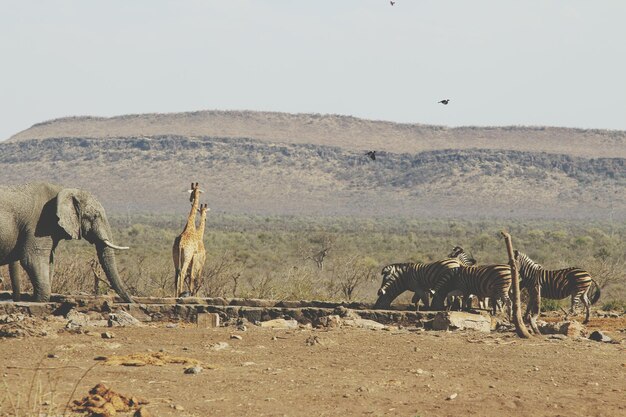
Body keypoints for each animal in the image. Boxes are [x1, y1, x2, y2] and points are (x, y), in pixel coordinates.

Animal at [0, 182, 132, 302]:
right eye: (95, 215)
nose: (130, 301)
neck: (62, 191)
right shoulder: (39, 225)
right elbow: (31, 258)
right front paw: (39, 301)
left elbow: (50, 260)